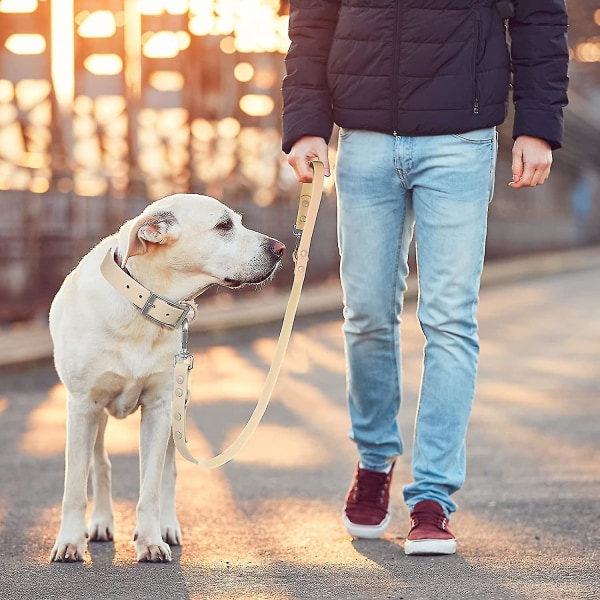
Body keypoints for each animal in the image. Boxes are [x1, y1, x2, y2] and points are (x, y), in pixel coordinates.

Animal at [49, 192, 284, 564]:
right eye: (224, 226)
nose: (281, 249)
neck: (143, 304)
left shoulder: (160, 409)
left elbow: (151, 487)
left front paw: (149, 540)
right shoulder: (83, 406)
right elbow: (74, 486)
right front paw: (69, 541)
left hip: (177, 412)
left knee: (168, 473)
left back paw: (168, 527)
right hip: (97, 415)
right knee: (100, 465)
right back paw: (101, 522)